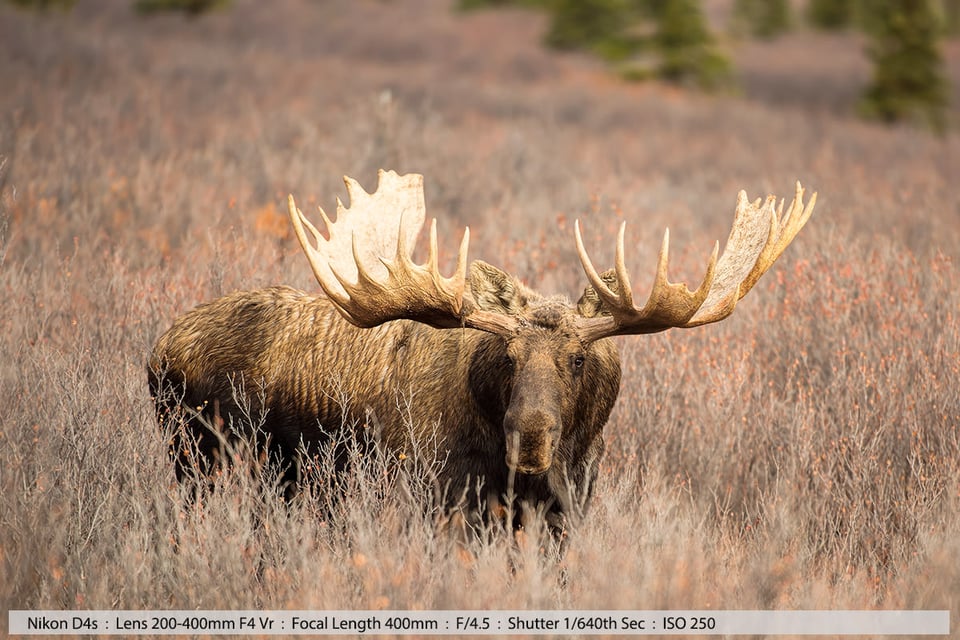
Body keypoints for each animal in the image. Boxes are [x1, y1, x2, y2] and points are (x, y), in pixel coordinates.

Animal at [150, 170, 816, 528]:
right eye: (508, 357)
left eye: (578, 360)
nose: (531, 438)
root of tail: (157, 349)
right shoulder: (443, 497)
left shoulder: (566, 507)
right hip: (196, 458)